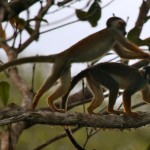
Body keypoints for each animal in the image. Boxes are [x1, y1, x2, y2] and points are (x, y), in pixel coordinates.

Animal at [0, 17, 149, 112]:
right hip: (61, 63)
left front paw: (144, 56)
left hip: (66, 65)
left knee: (65, 84)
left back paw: (51, 102)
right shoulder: (114, 33)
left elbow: (123, 54)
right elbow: (126, 45)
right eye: (124, 26)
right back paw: (38, 98)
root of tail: (61, 54)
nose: (125, 31)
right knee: (53, 78)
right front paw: (146, 54)